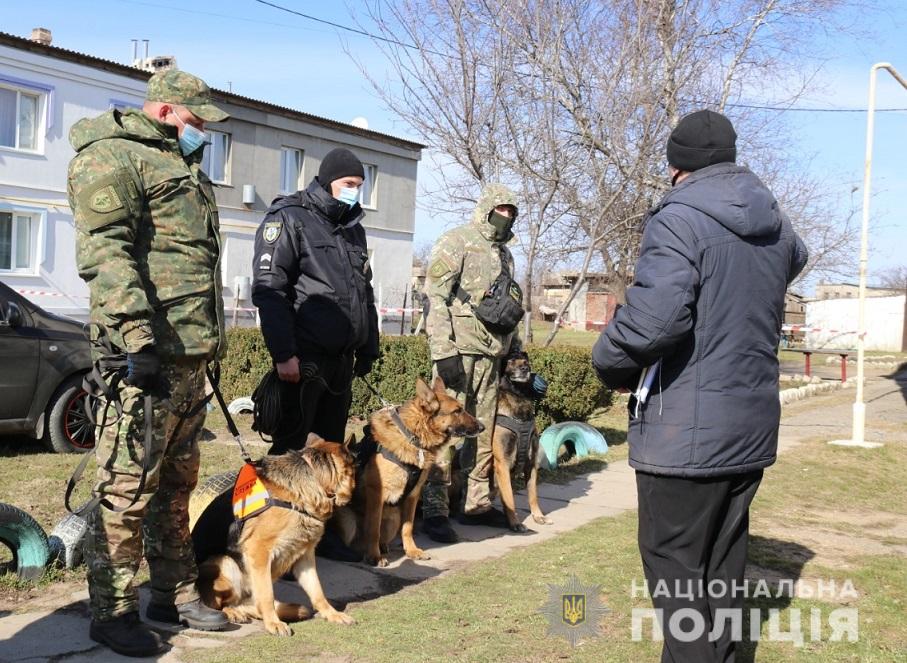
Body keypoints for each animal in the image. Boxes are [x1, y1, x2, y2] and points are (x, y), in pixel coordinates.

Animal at [199, 436, 358, 640]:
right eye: (354, 473)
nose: (353, 496)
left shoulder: (305, 556)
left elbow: (317, 590)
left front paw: (332, 614)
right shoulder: (258, 552)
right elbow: (267, 594)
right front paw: (273, 623)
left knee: (250, 605)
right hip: (226, 563)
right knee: (218, 604)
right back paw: (232, 613)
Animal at [334, 376, 486, 568]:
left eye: (461, 409)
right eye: (457, 411)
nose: (482, 427)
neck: (412, 436)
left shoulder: (413, 495)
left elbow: (408, 527)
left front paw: (412, 551)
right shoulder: (376, 494)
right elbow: (373, 529)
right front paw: (374, 556)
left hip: (393, 519)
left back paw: (382, 547)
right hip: (349, 520)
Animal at [494, 352, 548, 536]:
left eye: (526, 361)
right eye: (510, 361)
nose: (525, 369)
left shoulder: (531, 463)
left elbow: (533, 494)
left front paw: (538, 516)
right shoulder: (502, 464)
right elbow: (510, 498)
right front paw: (515, 523)